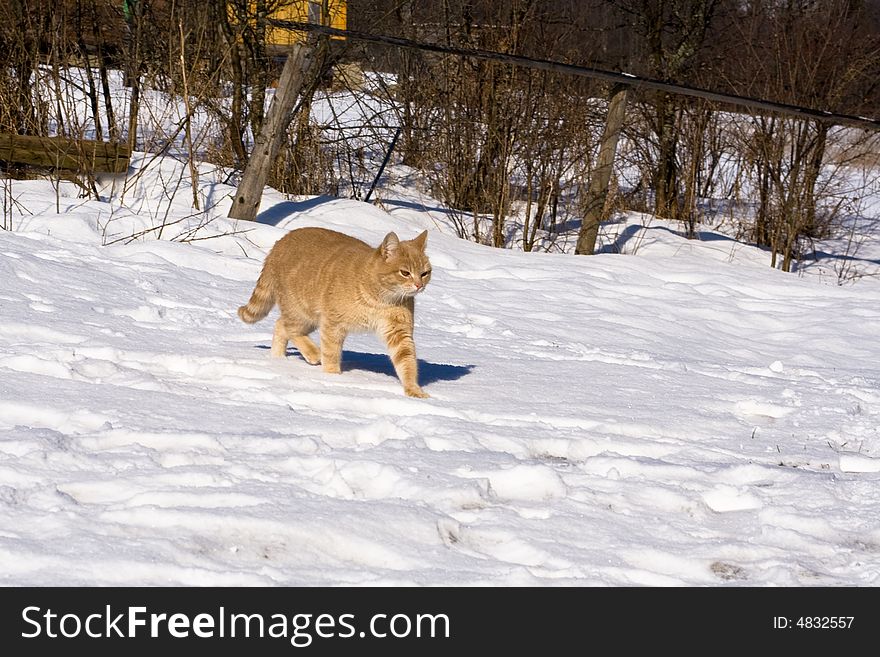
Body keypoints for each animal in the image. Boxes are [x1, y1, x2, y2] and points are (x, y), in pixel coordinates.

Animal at [237, 228, 434, 398]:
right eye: (405, 273)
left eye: (425, 273)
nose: (419, 285)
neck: (379, 298)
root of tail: (279, 243)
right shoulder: (333, 324)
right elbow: (331, 352)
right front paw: (332, 378)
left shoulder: (399, 332)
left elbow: (406, 360)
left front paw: (413, 389)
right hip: (302, 312)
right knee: (290, 328)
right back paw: (312, 354)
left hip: (309, 318)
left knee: (280, 325)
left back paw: (278, 359)